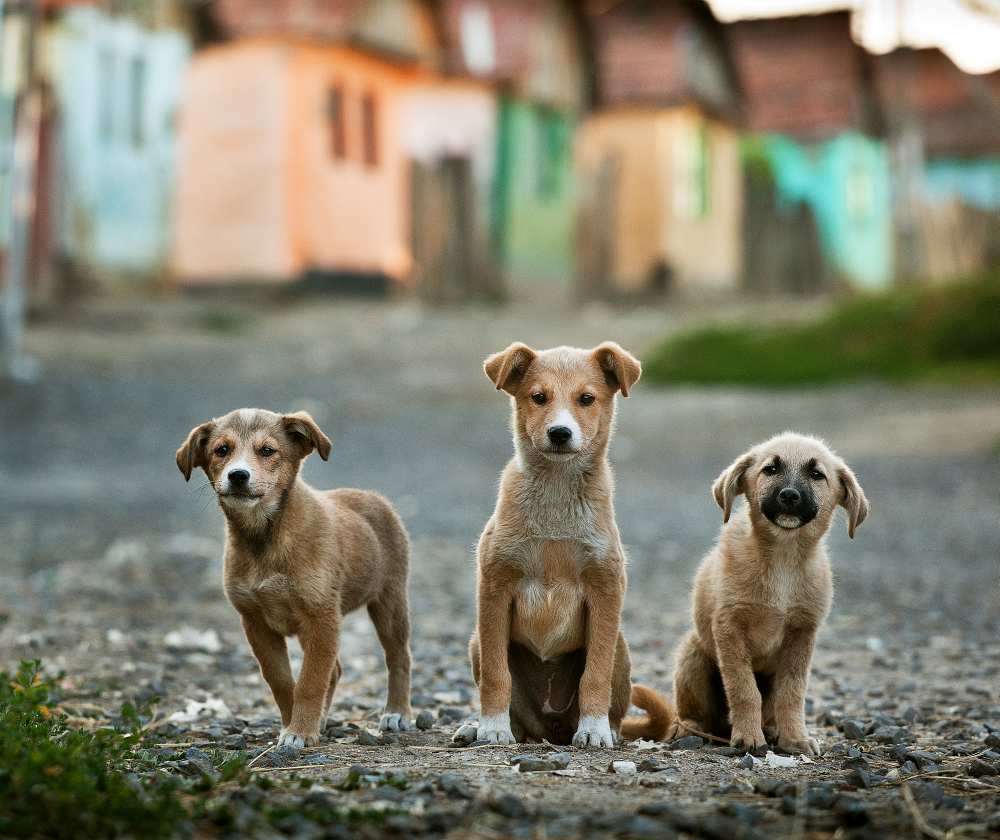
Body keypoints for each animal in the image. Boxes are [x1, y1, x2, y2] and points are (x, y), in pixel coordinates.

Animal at [177, 410, 414, 744]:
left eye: (267, 450)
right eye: (221, 450)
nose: (238, 476)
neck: (265, 538)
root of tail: (372, 496)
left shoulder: (321, 617)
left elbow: (311, 681)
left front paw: (300, 732)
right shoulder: (256, 622)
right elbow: (281, 680)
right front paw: (294, 724)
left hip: (389, 601)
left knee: (398, 657)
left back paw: (397, 712)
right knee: (336, 670)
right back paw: (324, 719)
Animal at [466, 342, 672, 748]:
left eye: (586, 399)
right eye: (538, 397)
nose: (560, 433)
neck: (556, 496)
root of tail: (551, 729)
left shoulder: (605, 588)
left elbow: (595, 674)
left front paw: (593, 730)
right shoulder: (495, 586)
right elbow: (497, 675)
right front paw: (492, 727)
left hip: (621, 647)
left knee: (613, 702)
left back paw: (606, 728)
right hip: (476, 642)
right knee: (518, 714)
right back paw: (479, 728)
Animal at [668, 434, 872, 756]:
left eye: (817, 474)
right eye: (771, 469)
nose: (789, 495)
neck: (783, 558)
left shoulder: (802, 634)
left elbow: (792, 693)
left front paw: (795, 738)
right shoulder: (729, 628)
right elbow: (744, 689)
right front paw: (749, 737)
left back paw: (773, 730)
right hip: (693, 655)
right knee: (695, 713)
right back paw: (688, 728)